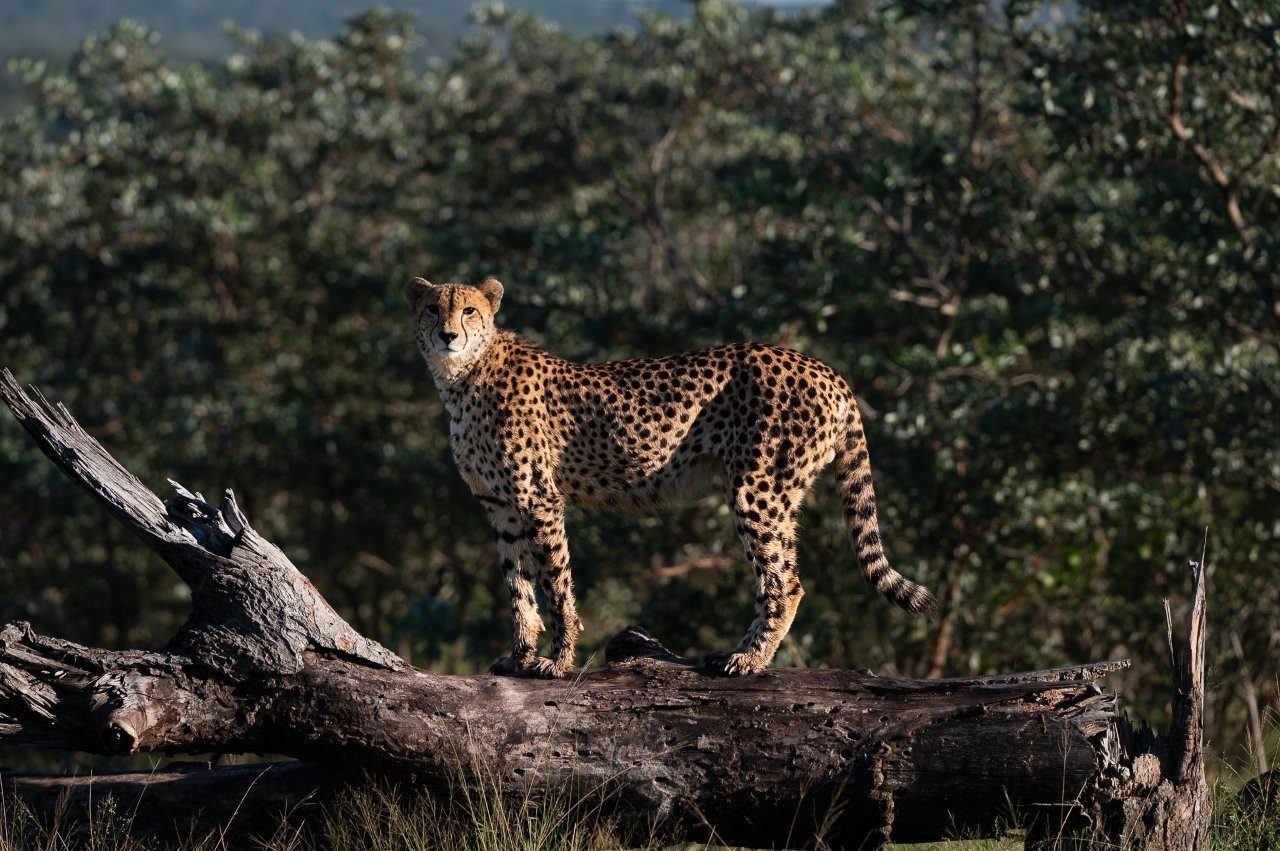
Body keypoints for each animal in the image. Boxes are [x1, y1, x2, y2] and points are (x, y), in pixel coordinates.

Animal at [406, 276, 938, 678]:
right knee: (784, 571)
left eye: (469, 311)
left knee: (785, 582)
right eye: (433, 309)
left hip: (757, 488)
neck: (464, 378)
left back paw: (749, 659)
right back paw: (736, 653)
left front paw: (557, 663)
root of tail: (824, 368)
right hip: (776, 492)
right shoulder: (501, 508)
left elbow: (555, 587)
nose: (448, 335)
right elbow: (519, 590)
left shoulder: (539, 499)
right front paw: (518, 657)